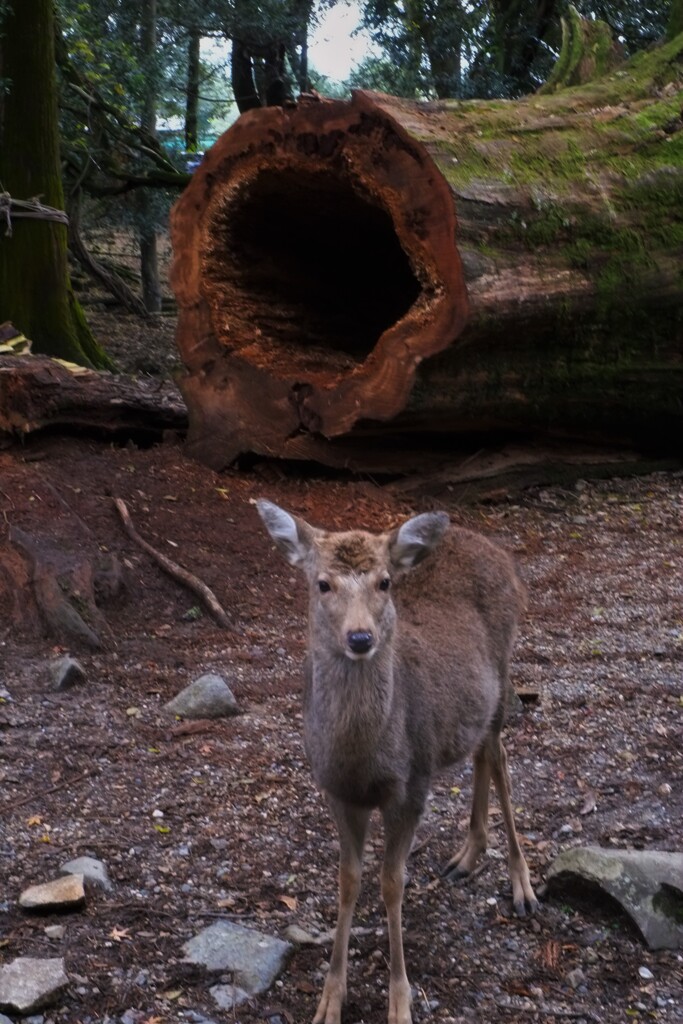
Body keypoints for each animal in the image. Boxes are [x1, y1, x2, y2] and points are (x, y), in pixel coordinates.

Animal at [255, 499, 540, 1019]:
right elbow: (348, 881)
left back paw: (521, 885)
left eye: (384, 582)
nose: (361, 637)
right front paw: (330, 999)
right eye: (322, 583)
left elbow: (392, 884)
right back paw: (467, 855)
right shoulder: (334, 790)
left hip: (505, 663)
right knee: (481, 753)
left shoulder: (412, 784)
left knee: (501, 757)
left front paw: (400, 1002)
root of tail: (500, 554)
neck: (362, 759)